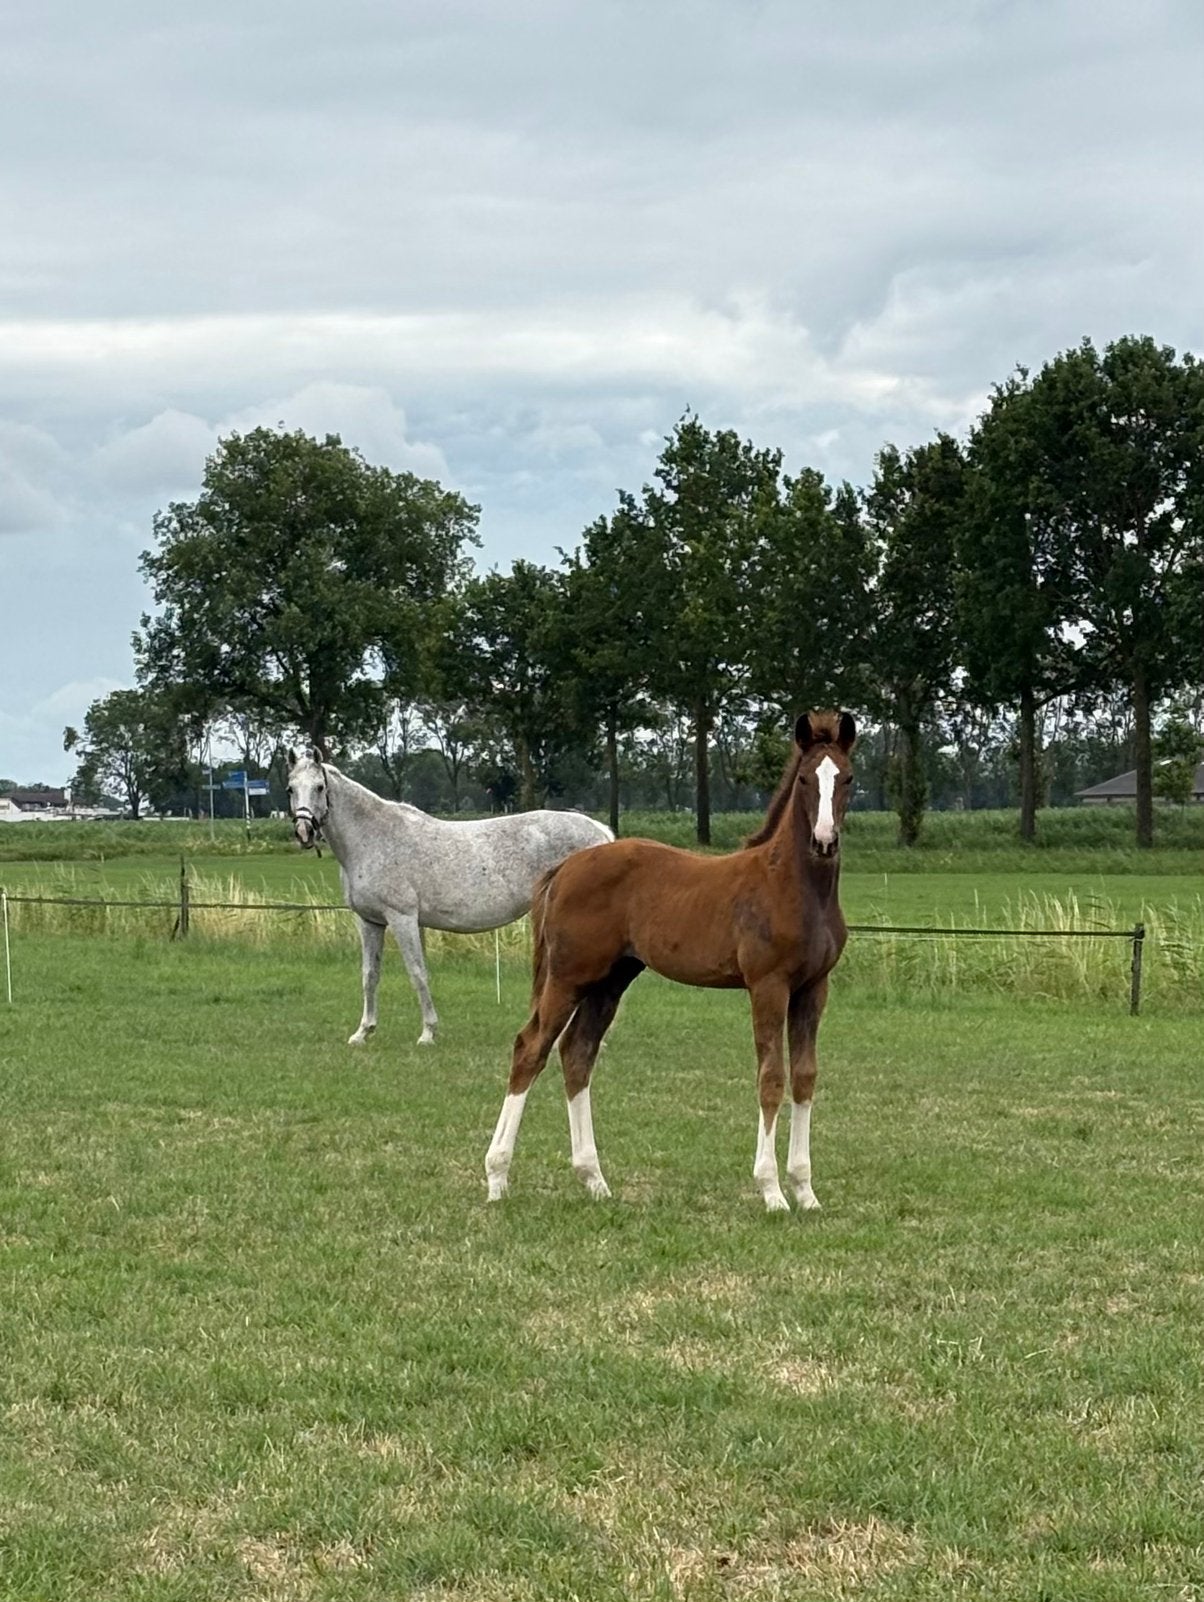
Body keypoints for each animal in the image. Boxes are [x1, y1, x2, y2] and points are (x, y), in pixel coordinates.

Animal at [286, 749, 613, 1046]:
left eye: (319, 787)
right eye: (290, 788)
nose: (304, 831)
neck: (373, 838)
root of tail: (600, 831)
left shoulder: (403, 918)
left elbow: (417, 973)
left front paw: (428, 1033)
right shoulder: (369, 921)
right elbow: (369, 975)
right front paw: (363, 1032)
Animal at [484, 711, 856, 1211]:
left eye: (847, 778)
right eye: (804, 779)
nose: (824, 842)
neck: (791, 887)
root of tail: (565, 868)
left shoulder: (813, 988)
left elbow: (805, 1077)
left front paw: (805, 1191)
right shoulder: (768, 986)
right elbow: (771, 1078)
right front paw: (772, 1191)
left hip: (611, 980)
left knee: (577, 1054)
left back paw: (594, 1180)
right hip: (568, 977)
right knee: (530, 1049)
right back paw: (497, 1178)